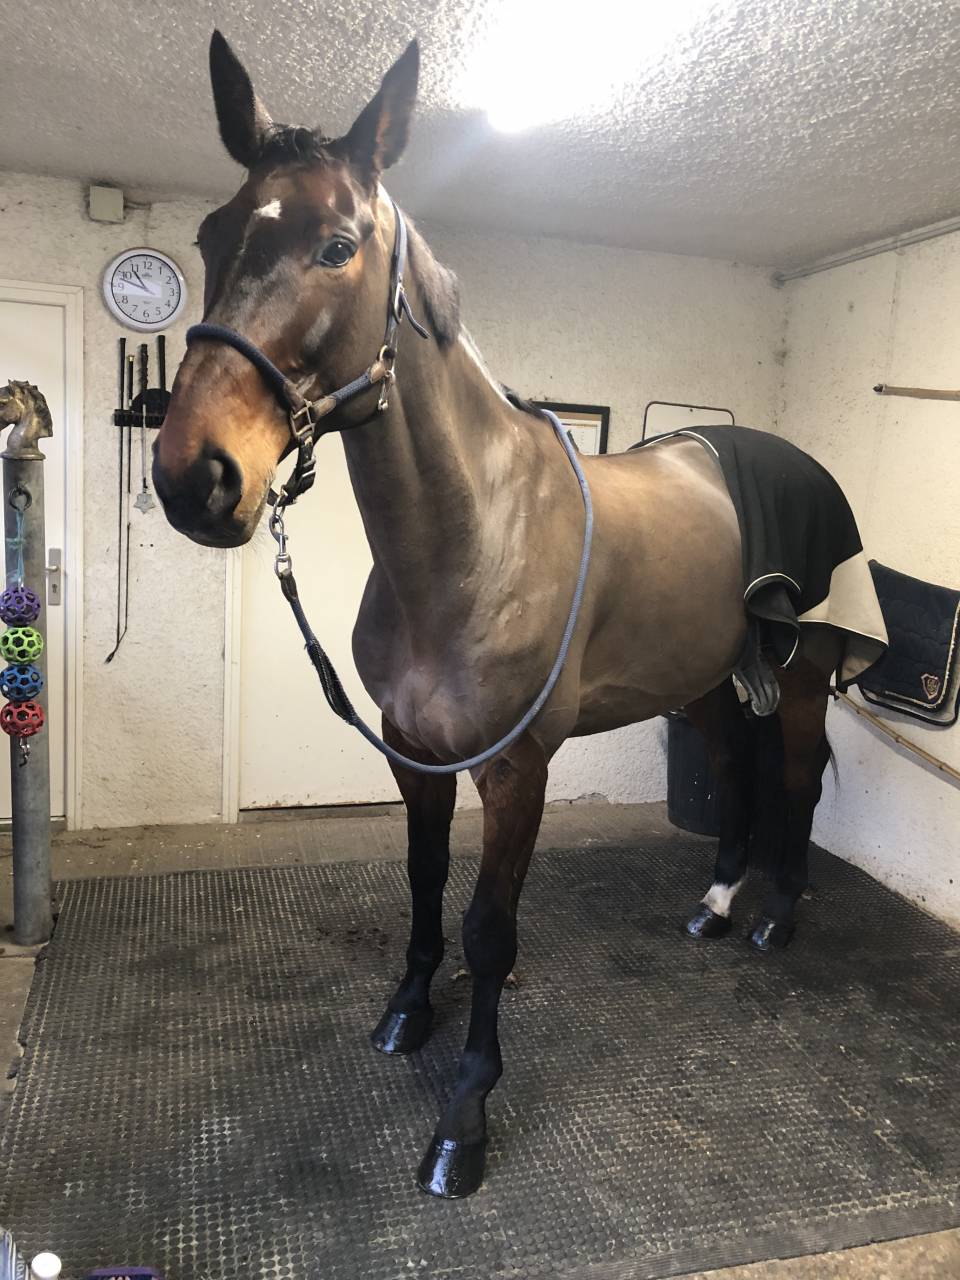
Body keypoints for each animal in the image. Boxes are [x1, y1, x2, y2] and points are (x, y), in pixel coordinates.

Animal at [153, 32, 881, 1198]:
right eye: (212, 235)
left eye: (338, 246)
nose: (194, 477)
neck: (468, 542)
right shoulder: (412, 751)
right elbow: (421, 883)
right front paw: (406, 1012)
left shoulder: (515, 768)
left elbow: (489, 927)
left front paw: (465, 1115)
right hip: (705, 679)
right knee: (733, 773)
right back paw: (717, 905)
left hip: (805, 674)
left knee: (798, 777)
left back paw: (777, 919)